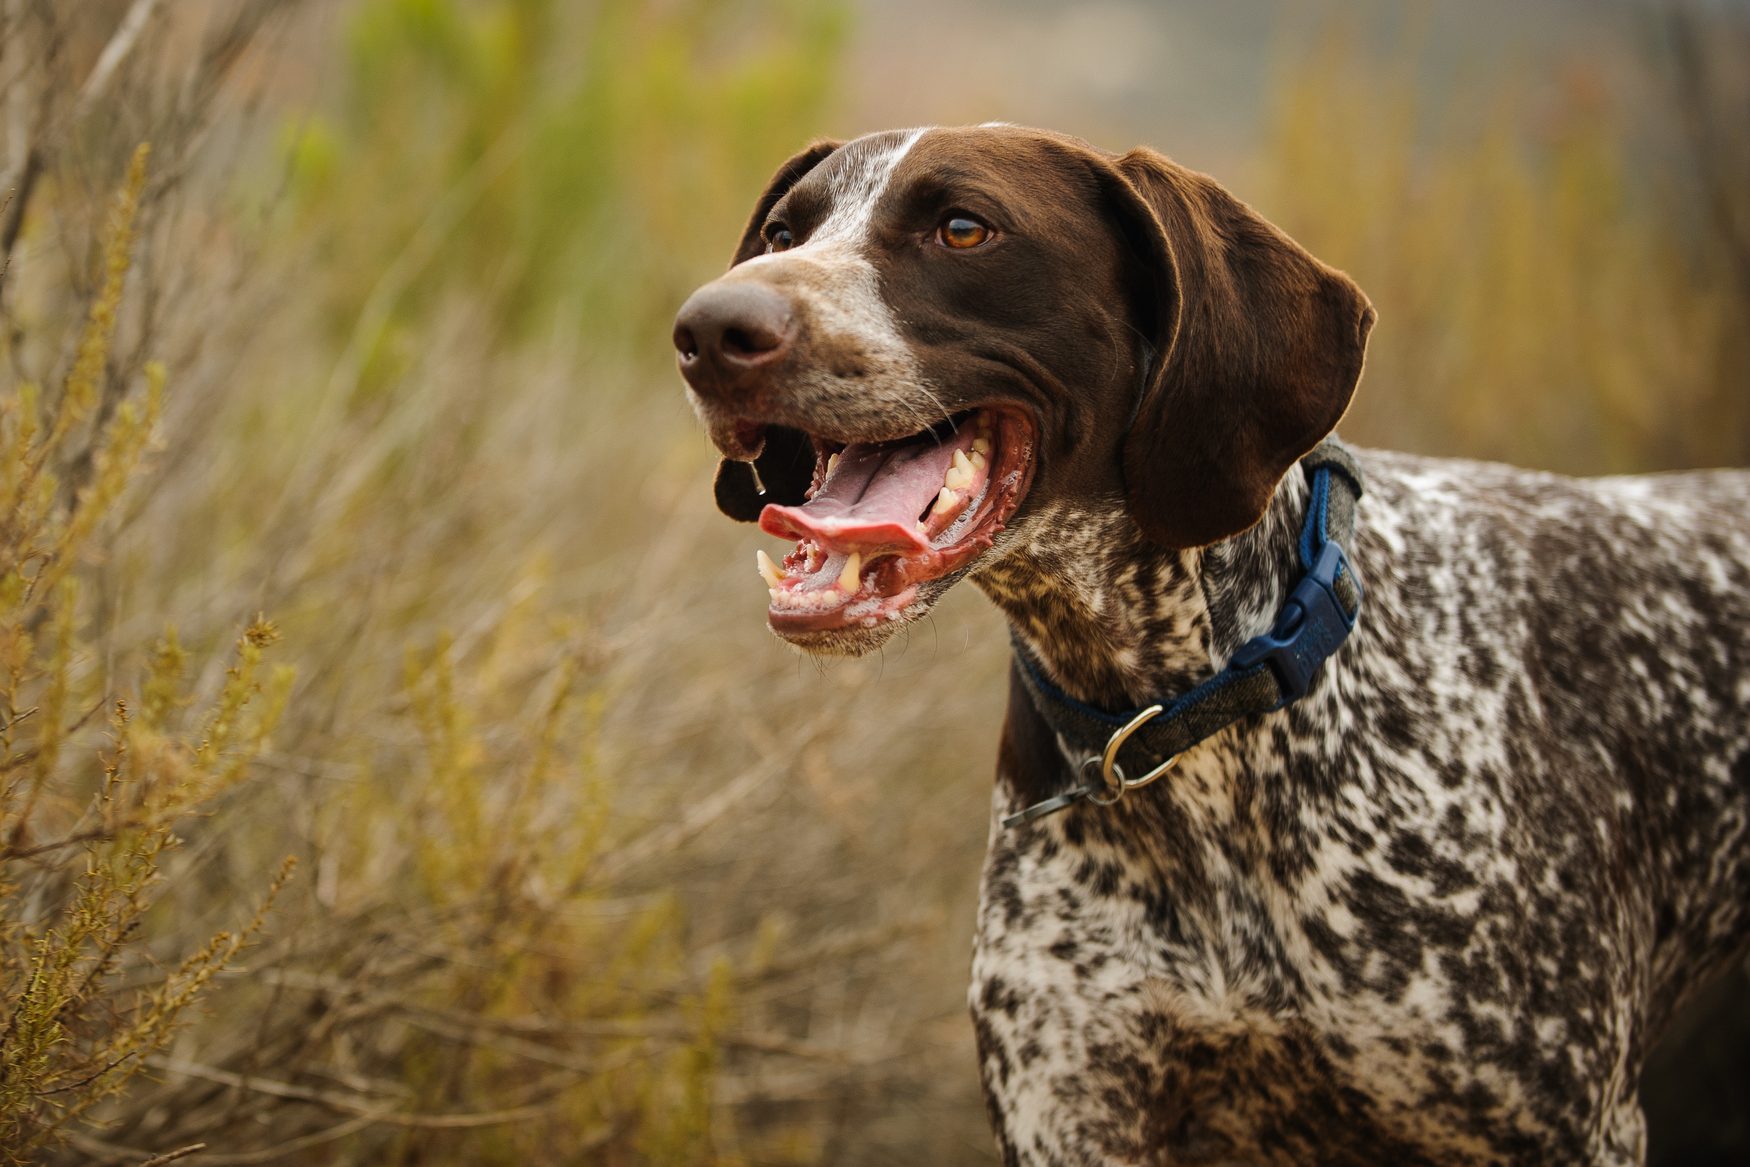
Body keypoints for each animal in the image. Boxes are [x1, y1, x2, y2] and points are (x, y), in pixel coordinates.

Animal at [668, 123, 1750, 1161]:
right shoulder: (1071, 1112)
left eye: (963, 228)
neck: (1177, 720)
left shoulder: (1568, 1124)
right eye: (782, 233)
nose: (707, 331)